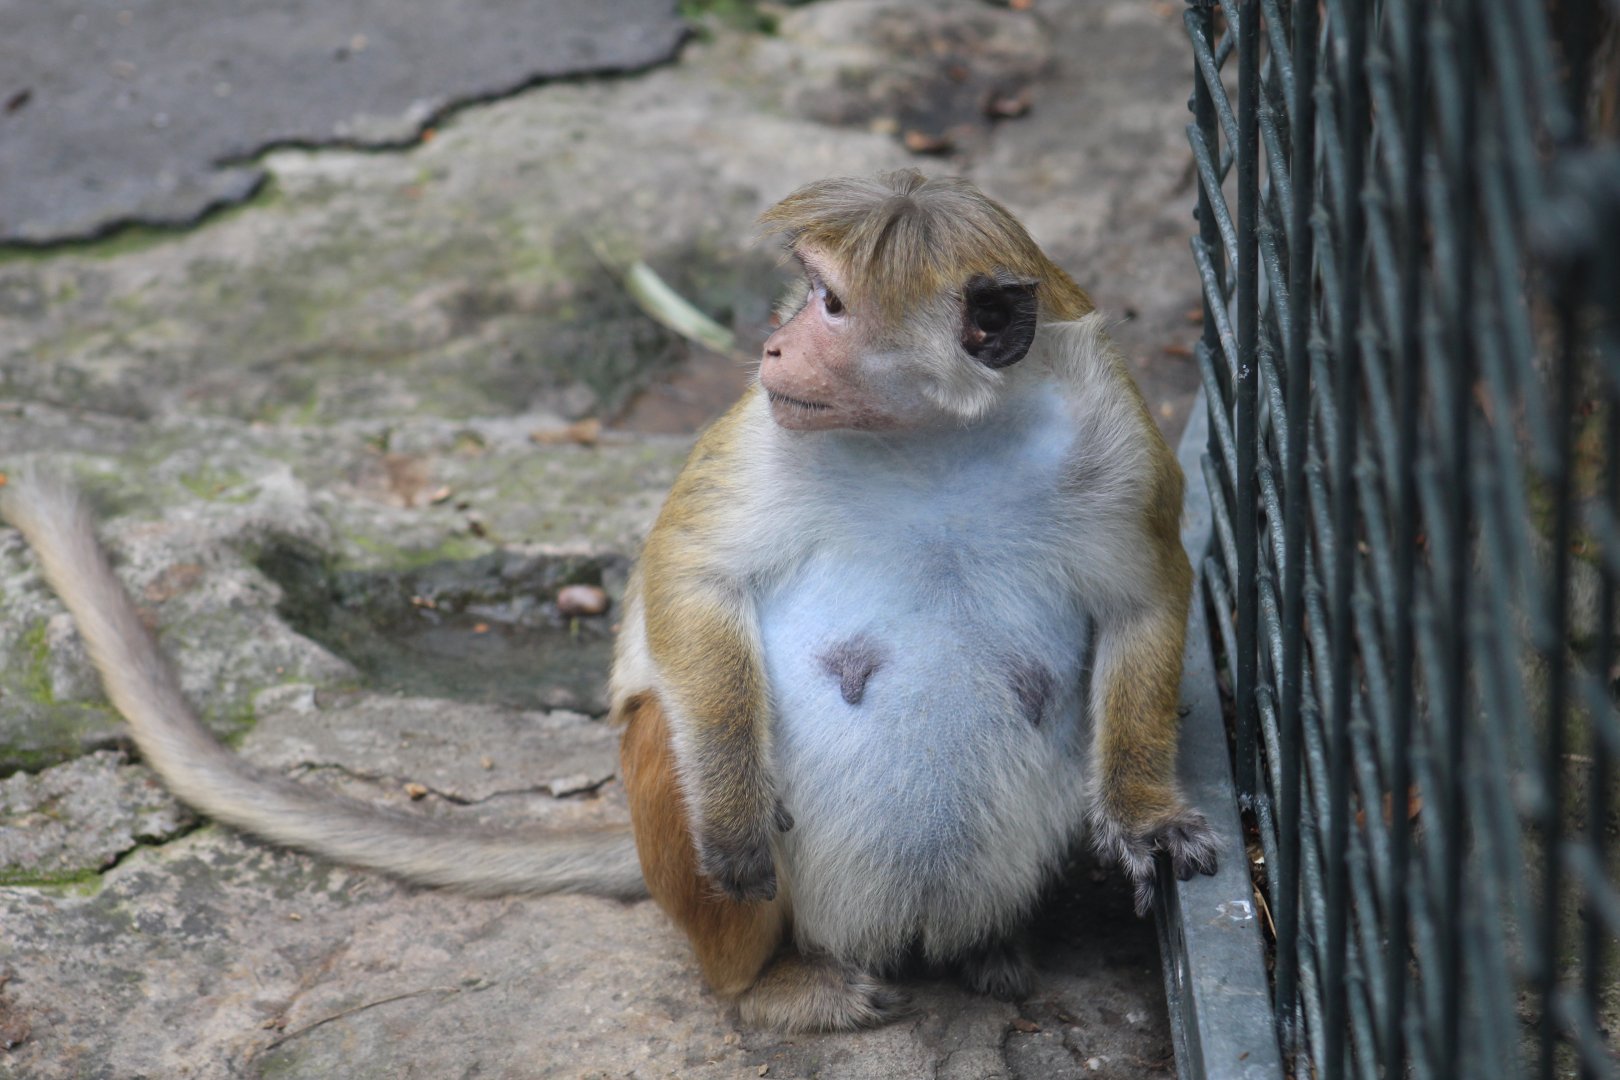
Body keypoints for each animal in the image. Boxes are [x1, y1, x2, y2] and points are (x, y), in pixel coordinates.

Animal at [1, 169, 1218, 1035]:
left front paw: (1143, 814)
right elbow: (690, 578)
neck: (939, 440)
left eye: (830, 302)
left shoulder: (1117, 437)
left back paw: (986, 952)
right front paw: (733, 810)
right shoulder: (761, 431)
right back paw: (767, 985)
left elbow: (1149, 600)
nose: (773, 341)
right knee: (666, 741)